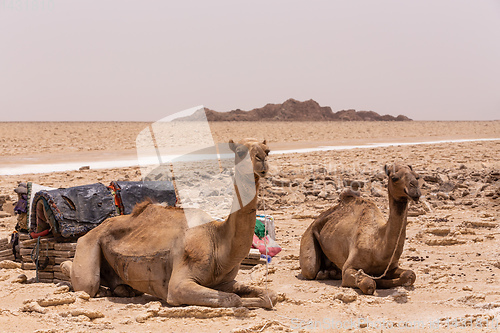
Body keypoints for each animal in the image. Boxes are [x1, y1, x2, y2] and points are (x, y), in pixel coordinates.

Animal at [61, 138, 278, 308]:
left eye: (267, 150)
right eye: (240, 151)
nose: (261, 160)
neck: (217, 239)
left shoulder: (223, 282)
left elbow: (269, 295)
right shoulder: (179, 285)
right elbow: (233, 299)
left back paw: (122, 288)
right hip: (89, 243)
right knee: (86, 283)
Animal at [300, 163, 422, 294]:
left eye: (417, 176)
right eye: (394, 178)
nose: (415, 190)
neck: (377, 245)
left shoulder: (391, 267)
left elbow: (410, 274)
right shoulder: (348, 269)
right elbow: (369, 283)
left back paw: (330, 272)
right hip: (308, 240)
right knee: (310, 269)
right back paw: (323, 274)